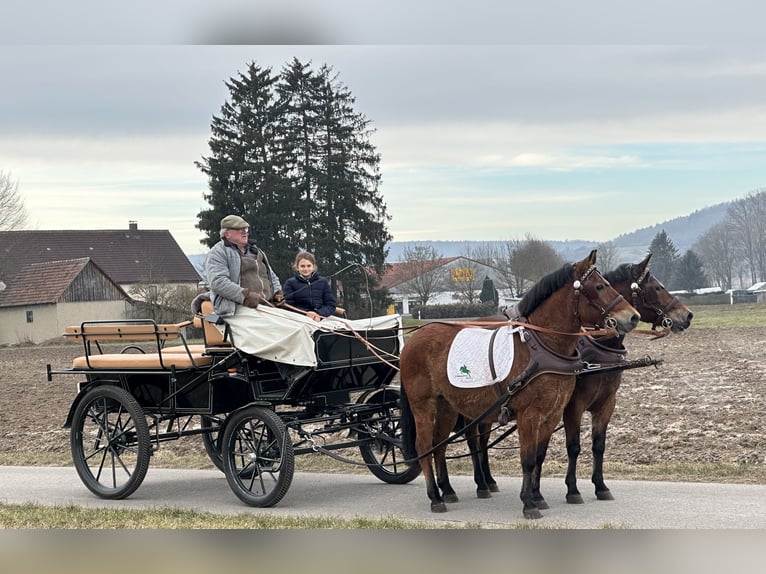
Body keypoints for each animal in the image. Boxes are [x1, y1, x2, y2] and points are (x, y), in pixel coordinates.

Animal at [396, 250, 640, 520]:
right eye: (599, 286)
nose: (633, 317)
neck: (542, 345)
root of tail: (413, 339)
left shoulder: (553, 414)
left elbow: (539, 456)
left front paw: (537, 496)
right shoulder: (529, 414)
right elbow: (528, 459)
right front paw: (529, 503)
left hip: (447, 406)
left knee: (439, 446)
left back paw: (447, 491)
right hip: (423, 404)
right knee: (424, 446)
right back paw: (435, 497)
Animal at [564, 255, 696, 504]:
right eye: (657, 287)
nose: (688, 315)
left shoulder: (606, 403)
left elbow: (599, 445)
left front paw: (600, 486)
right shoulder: (573, 406)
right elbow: (573, 447)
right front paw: (572, 489)